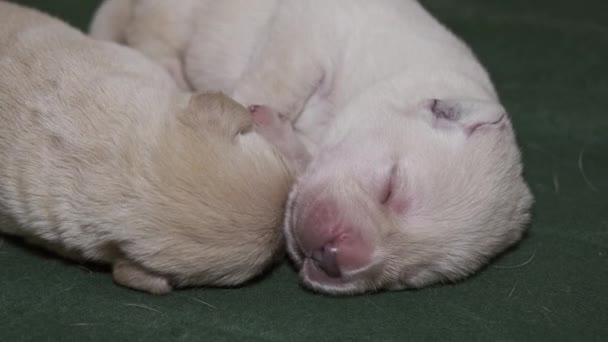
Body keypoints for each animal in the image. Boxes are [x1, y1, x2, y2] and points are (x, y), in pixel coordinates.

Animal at [90, 0, 532, 294]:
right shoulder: (308, 32)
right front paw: (244, 114)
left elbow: (299, 152)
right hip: (174, 16)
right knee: (153, 37)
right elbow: (276, 84)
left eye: (410, 278)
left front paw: (273, 131)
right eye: (390, 188)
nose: (334, 258)